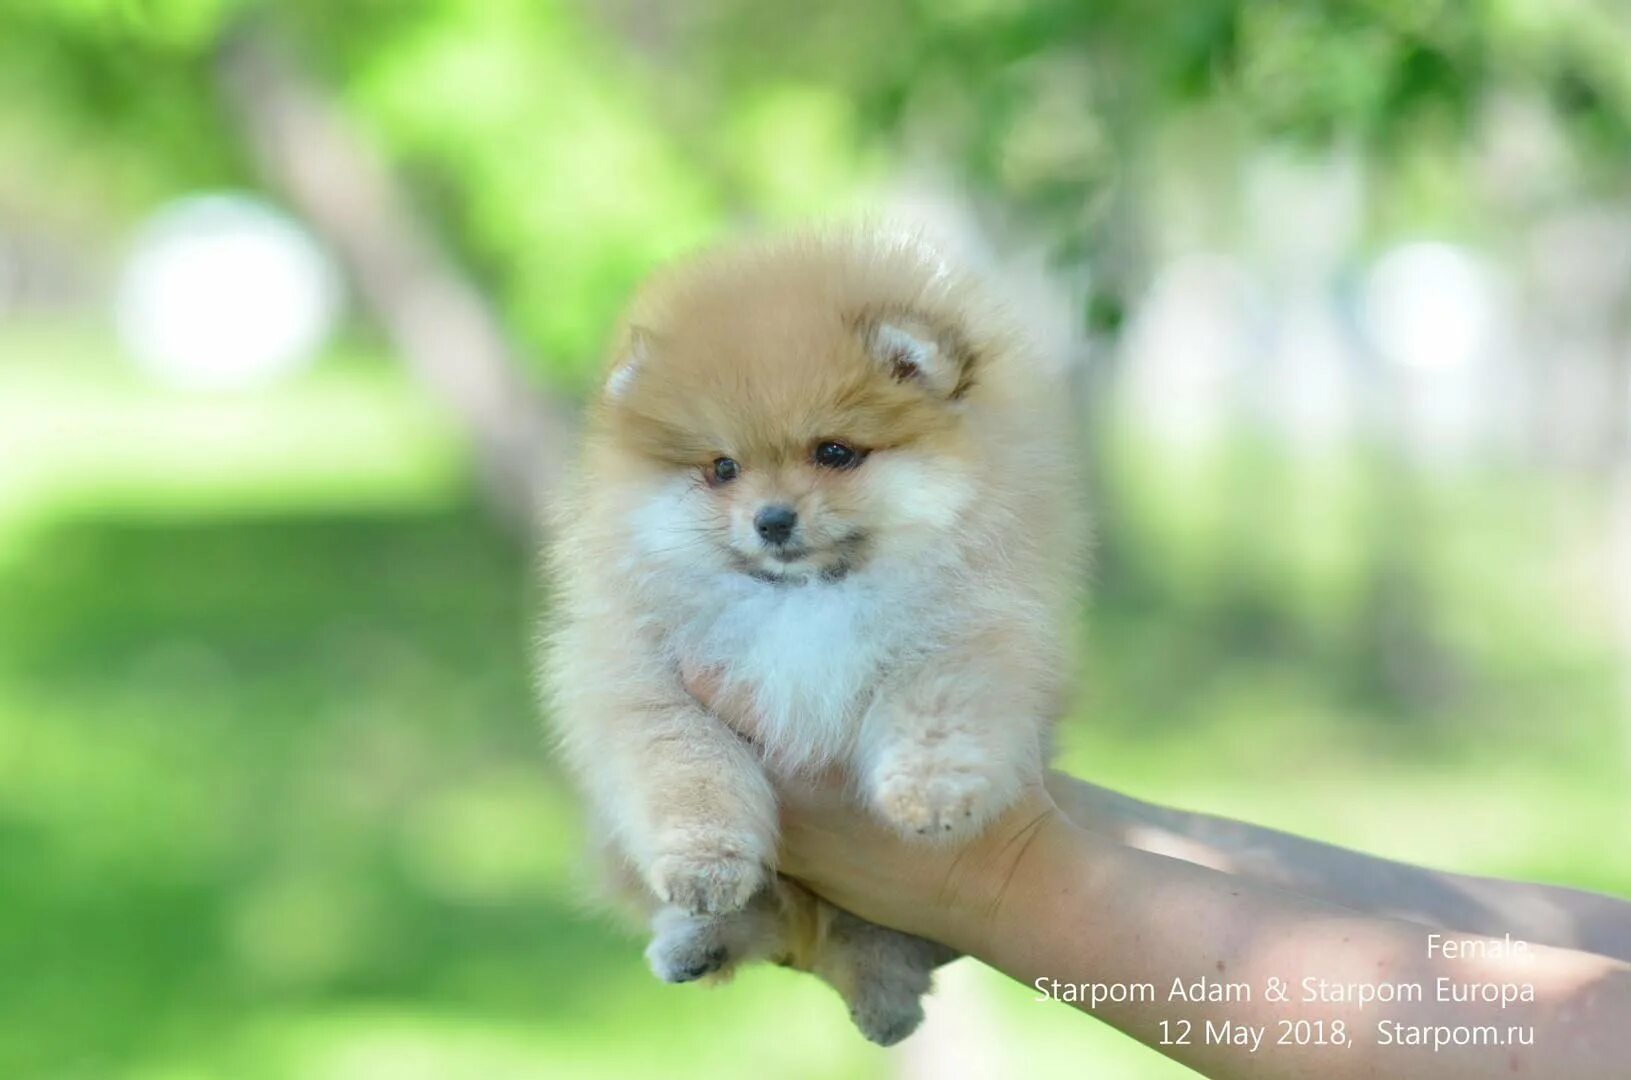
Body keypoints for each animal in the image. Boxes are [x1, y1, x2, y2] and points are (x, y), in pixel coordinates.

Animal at [544, 230, 1082, 1050]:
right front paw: (705, 867)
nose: (771, 520)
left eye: (833, 452)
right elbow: (689, 770)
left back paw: (880, 988)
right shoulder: (647, 679)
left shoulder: (970, 633)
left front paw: (927, 794)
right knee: (763, 920)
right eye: (722, 468)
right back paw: (698, 940)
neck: (806, 597)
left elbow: (936, 711)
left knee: (871, 935)